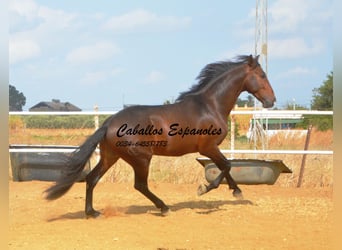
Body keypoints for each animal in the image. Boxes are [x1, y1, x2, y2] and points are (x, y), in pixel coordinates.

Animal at [44, 54, 276, 217]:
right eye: (262, 76)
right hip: (141, 158)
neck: (210, 106)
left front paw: (236, 191)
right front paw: (205, 189)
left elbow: (226, 167)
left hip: (111, 156)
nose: (271, 101)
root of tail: (109, 122)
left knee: (92, 178)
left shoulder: (211, 149)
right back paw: (164, 207)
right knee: (140, 185)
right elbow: (226, 166)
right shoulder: (208, 147)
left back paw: (92, 212)